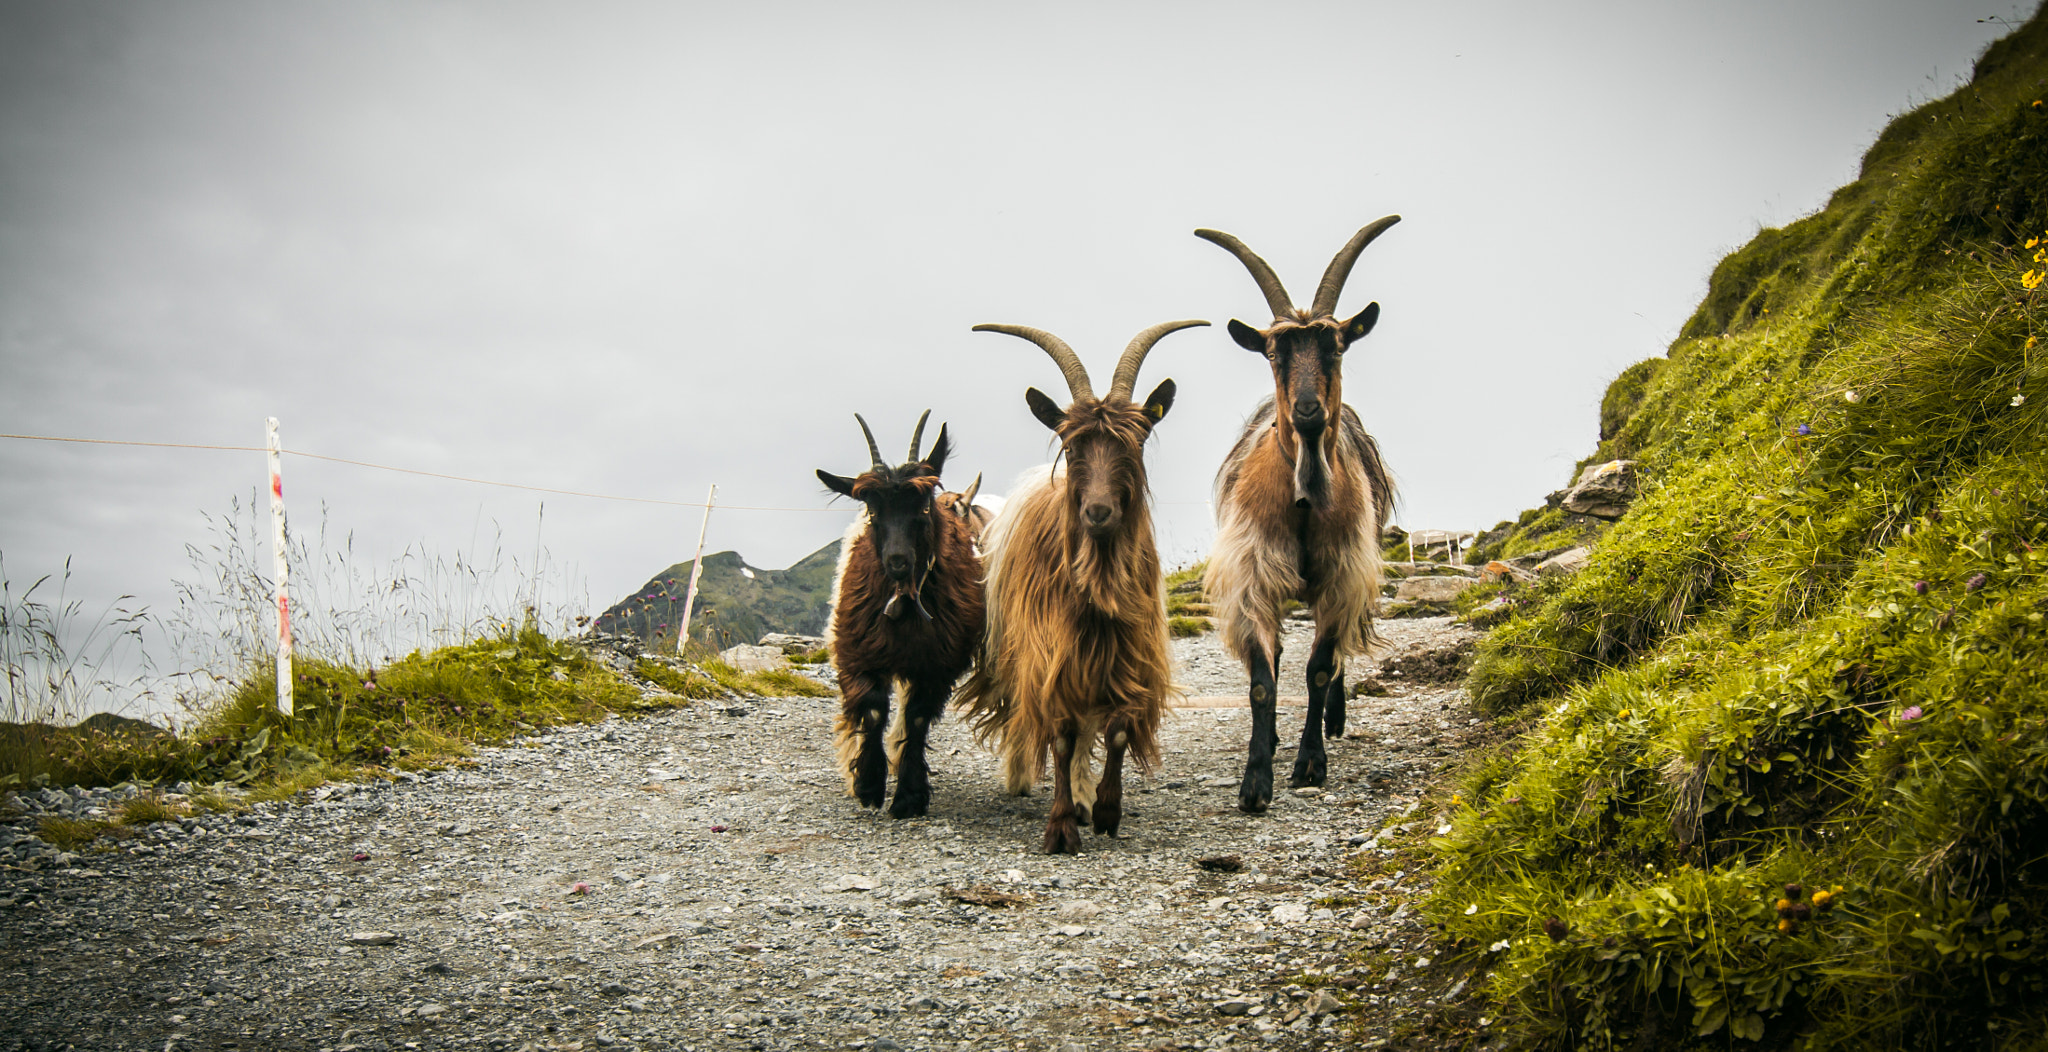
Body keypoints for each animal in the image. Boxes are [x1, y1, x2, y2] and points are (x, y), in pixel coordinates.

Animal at [817, 411, 986, 818]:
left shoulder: (936, 663)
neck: (904, 600)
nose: (897, 561)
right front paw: (867, 783)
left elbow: (917, 717)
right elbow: (874, 711)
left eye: (923, 506)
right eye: (873, 510)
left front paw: (909, 794)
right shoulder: (858, 652)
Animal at [955, 319, 1206, 853]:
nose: (1098, 512)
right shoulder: (1049, 653)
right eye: (1071, 447)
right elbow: (1062, 735)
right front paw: (1061, 826)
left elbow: (1114, 731)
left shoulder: (1127, 653)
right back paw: (1025, 778)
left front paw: (1106, 809)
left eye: (1134, 443)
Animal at [1196, 219, 1400, 814]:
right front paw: (1255, 778)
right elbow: (1264, 679)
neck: (1305, 501)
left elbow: (1321, 668)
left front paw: (1310, 763)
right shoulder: (1254, 573)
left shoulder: (1344, 571)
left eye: (1335, 348)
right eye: (1272, 353)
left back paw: (1333, 720)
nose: (1309, 412)